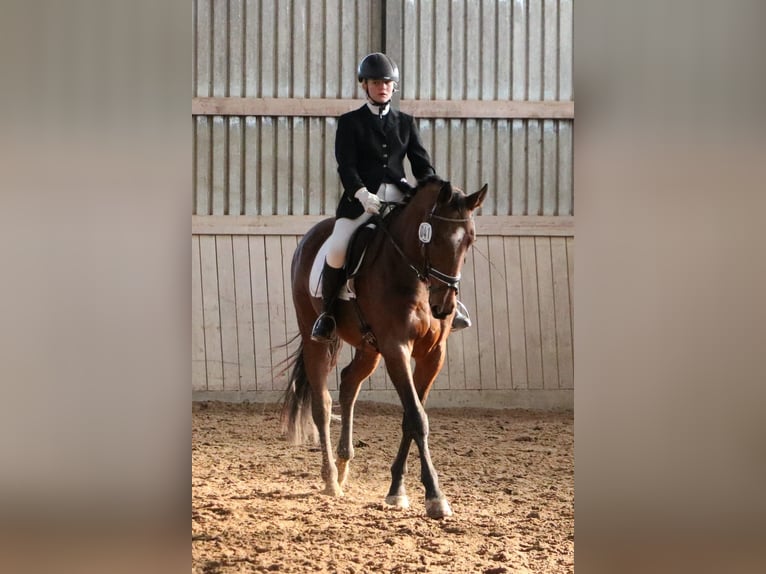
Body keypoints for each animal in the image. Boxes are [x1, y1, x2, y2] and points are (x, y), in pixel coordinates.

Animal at [281, 175, 488, 519]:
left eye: (469, 241)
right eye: (435, 238)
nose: (444, 306)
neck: (413, 276)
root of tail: (311, 236)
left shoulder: (433, 355)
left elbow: (410, 418)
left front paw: (397, 489)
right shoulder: (396, 348)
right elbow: (417, 417)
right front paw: (434, 496)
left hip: (369, 349)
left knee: (349, 383)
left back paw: (344, 463)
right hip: (315, 336)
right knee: (322, 404)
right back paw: (331, 479)